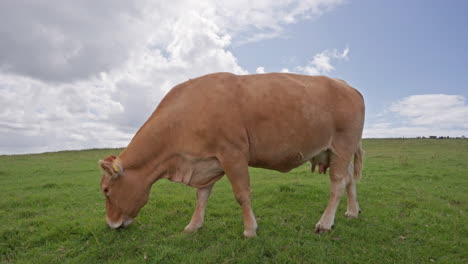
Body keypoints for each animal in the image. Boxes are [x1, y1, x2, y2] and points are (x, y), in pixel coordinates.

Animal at [98, 72, 366, 237]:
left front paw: (250, 230)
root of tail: (347, 85)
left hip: (342, 146)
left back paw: (325, 223)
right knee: (350, 180)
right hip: (339, 152)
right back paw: (352, 212)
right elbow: (201, 196)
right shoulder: (206, 162)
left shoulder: (233, 154)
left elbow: (241, 194)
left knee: (337, 185)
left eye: (106, 190)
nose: (110, 224)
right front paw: (193, 226)